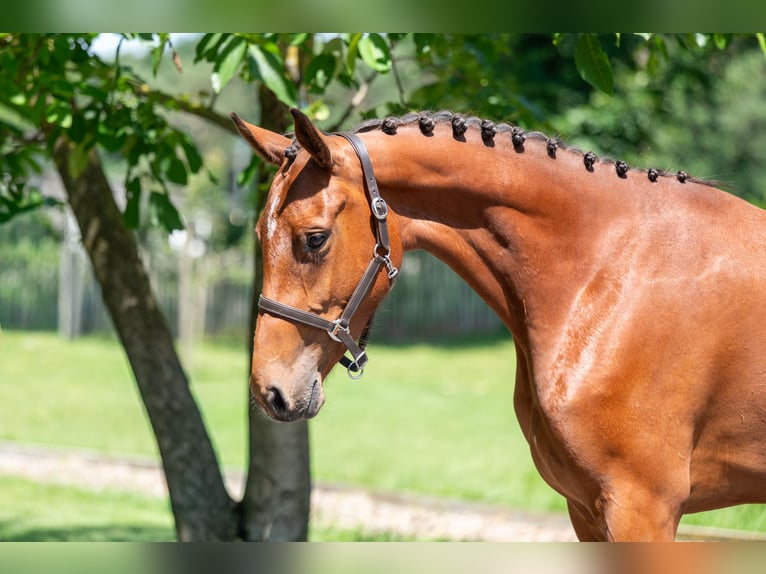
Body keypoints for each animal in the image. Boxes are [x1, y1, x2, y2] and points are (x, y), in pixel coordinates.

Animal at [231, 108, 766, 541]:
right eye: (258, 233)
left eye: (315, 238)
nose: (270, 391)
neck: (608, 269)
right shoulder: (586, 510)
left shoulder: (642, 507)